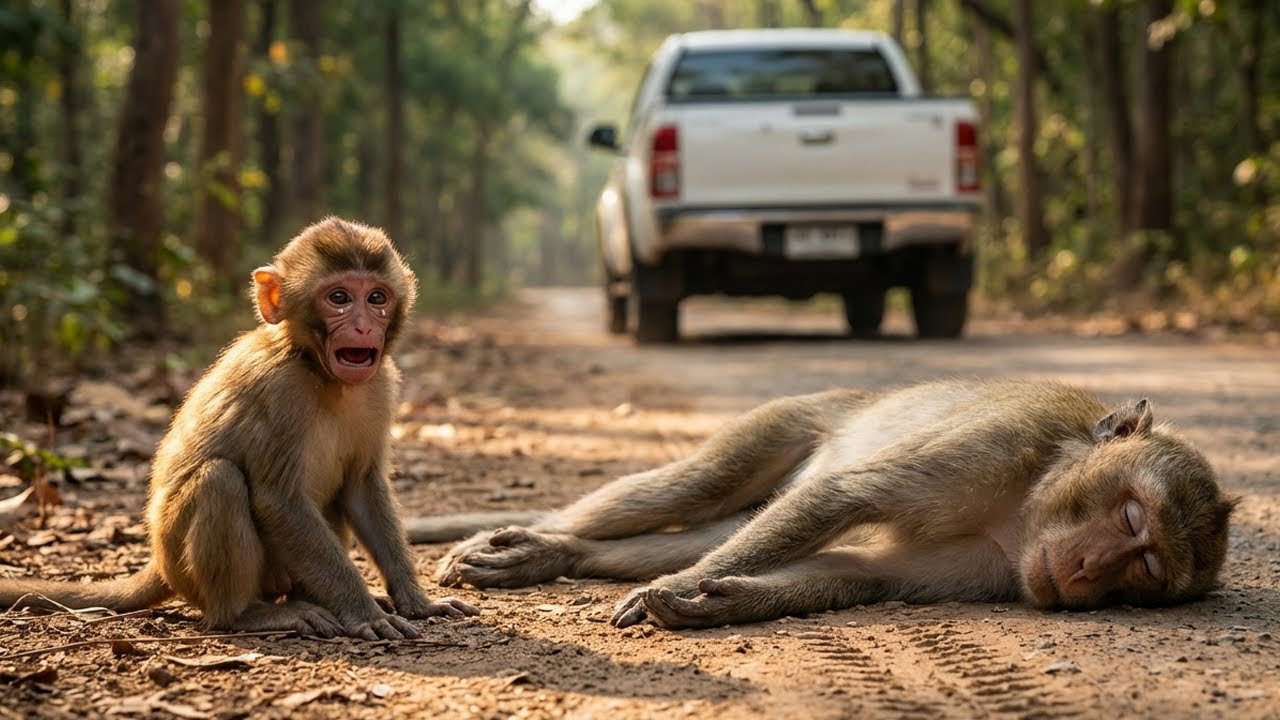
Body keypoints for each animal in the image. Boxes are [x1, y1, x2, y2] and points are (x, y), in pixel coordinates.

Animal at [0, 217, 477, 640]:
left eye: (377, 297)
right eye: (340, 297)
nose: (362, 326)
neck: (318, 369)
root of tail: (158, 561)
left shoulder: (381, 387)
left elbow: (360, 488)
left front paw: (416, 601)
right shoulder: (279, 388)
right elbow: (278, 502)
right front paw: (363, 613)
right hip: (186, 568)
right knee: (221, 481)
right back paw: (247, 614)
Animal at [427, 380, 1235, 630]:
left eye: (1144, 573)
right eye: (1129, 518)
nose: (1092, 565)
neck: (1028, 506)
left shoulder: (1005, 567)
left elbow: (858, 571)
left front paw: (714, 600)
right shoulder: (1004, 443)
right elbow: (845, 495)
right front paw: (682, 589)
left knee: (719, 523)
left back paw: (561, 555)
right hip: (793, 418)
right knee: (702, 485)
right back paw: (544, 538)